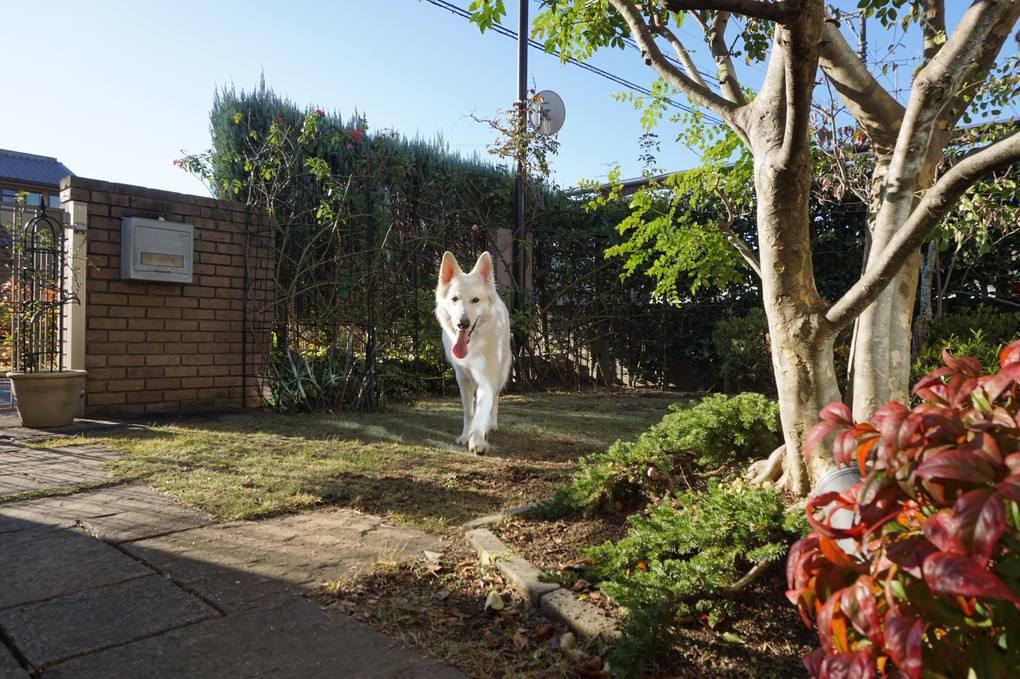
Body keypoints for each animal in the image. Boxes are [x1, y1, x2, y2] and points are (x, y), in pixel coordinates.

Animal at [434, 249, 510, 454]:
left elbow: (483, 408)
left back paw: (491, 425)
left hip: (501, 375)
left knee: (494, 400)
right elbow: (469, 411)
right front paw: (466, 436)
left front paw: (477, 440)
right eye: (454, 299)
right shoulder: (463, 377)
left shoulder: (487, 377)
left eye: (475, 300)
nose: (463, 324)